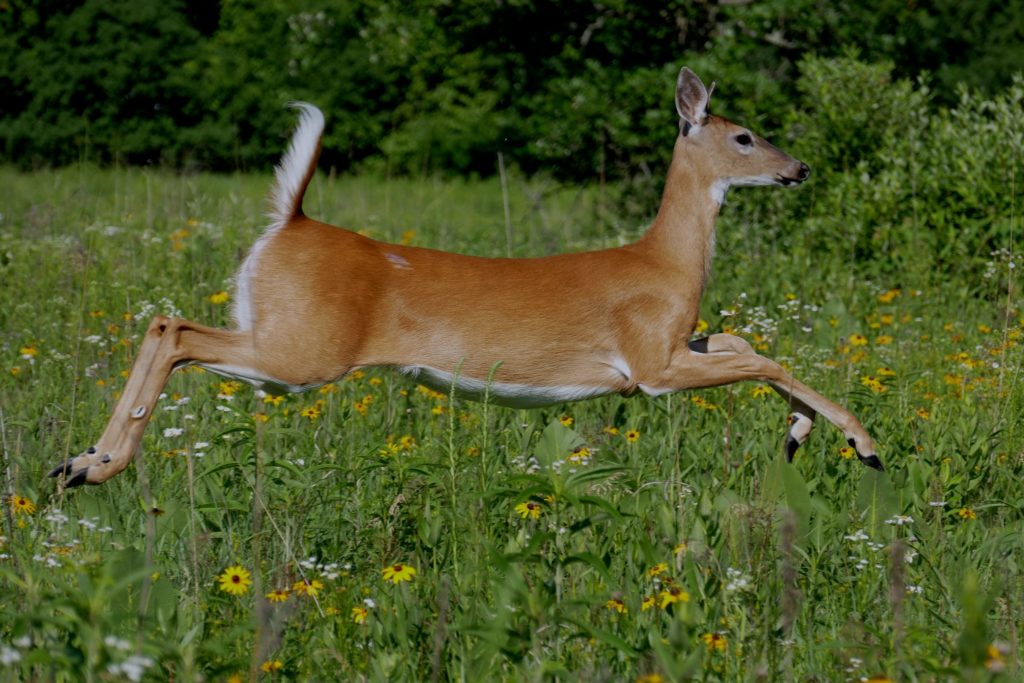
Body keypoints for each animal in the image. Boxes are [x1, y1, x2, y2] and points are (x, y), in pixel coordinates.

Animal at [49, 66, 880, 489]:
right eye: (744, 136)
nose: (799, 168)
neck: (665, 262)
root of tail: (290, 221)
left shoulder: (677, 346)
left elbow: (745, 340)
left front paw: (799, 433)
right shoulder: (650, 364)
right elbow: (765, 357)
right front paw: (862, 443)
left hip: (277, 336)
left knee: (165, 322)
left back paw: (79, 461)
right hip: (303, 353)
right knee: (174, 327)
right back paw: (99, 463)